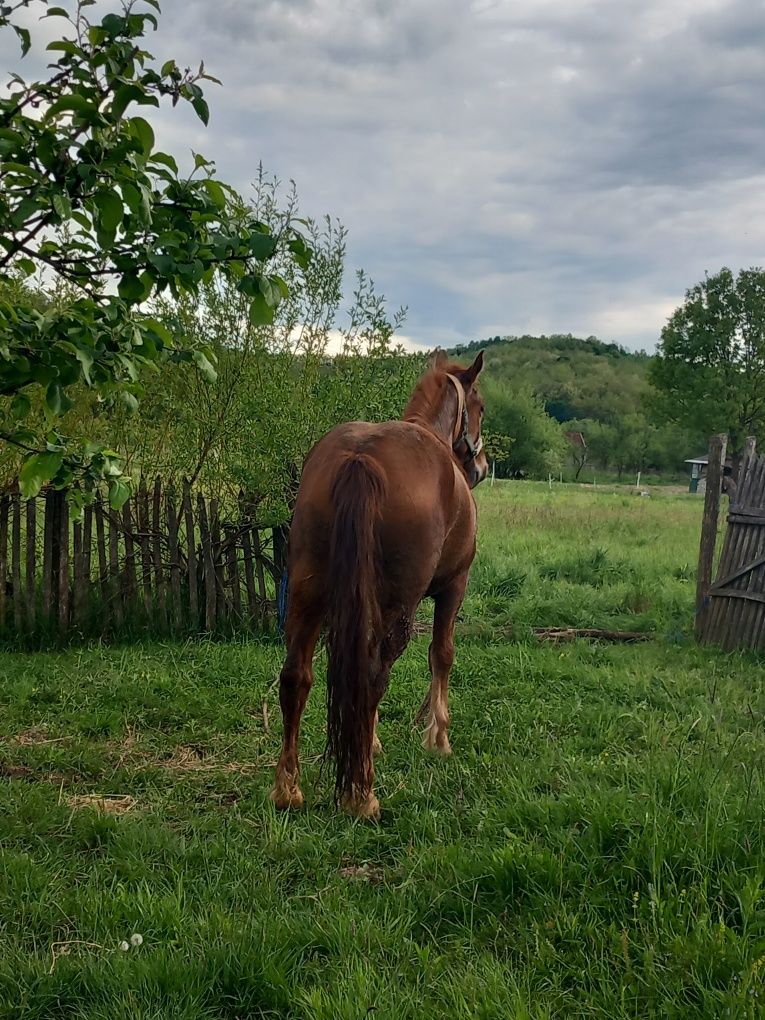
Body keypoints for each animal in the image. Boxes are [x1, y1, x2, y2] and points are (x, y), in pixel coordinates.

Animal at [271, 350, 485, 820]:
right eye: (480, 406)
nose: (479, 467)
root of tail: (361, 458)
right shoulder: (455, 586)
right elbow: (442, 655)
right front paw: (438, 738)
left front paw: (371, 739)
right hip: (397, 605)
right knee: (372, 675)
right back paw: (361, 794)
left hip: (306, 593)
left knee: (296, 676)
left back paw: (288, 788)